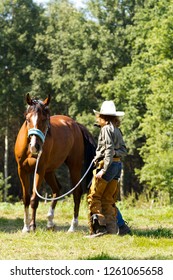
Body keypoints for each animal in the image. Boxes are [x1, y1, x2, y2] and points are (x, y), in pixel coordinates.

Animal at [14, 94, 96, 232]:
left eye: (44, 119)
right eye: (27, 119)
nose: (35, 146)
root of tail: (75, 124)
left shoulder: (39, 170)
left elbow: (34, 199)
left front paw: (32, 226)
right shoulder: (22, 170)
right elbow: (26, 198)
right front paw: (25, 227)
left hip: (74, 166)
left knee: (76, 192)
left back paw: (73, 226)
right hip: (49, 171)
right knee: (57, 189)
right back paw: (50, 221)